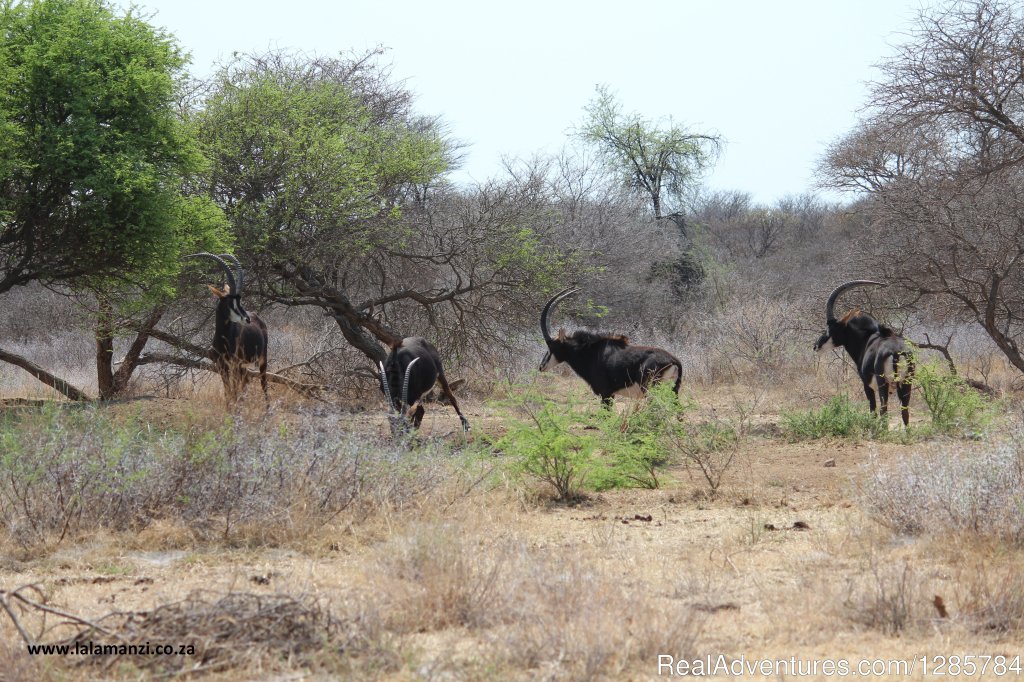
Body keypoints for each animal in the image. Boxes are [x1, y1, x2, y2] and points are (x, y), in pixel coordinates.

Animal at [185, 254, 270, 403]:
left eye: (239, 300)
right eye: (230, 302)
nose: (247, 319)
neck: (224, 338)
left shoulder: (234, 364)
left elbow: (233, 391)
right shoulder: (222, 365)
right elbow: (228, 392)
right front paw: (229, 406)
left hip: (261, 359)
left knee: (263, 383)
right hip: (242, 366)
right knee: (246, 380)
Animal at [540, 284, 684, 401]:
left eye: (551, 346)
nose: (541, 366)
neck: (591, 353)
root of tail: (674, 361)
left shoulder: (606, 394)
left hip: (651, 390)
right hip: (673, 391)